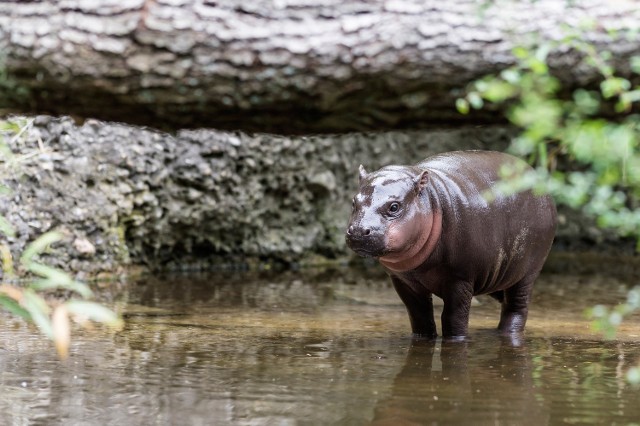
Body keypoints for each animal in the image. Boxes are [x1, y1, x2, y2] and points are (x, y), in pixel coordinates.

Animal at [344, 150, 556, 340]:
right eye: (354, 202)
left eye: (394, 206)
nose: (358, 230)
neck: (432, 200)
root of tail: (536, 176)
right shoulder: (403, 280)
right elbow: (419, 316)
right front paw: (423, 338)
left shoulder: (460, 279)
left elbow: (453, 318)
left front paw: (456, 340)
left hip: (527, 271)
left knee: (517, 307)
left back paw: (508, 332)